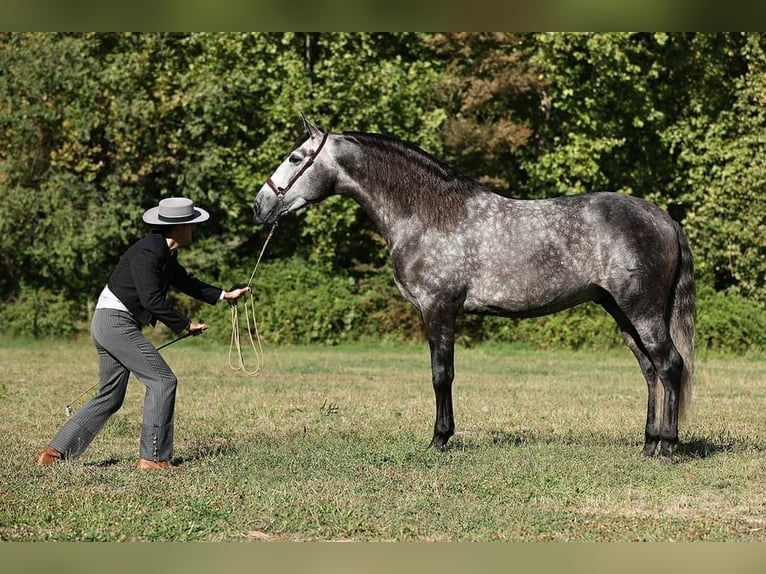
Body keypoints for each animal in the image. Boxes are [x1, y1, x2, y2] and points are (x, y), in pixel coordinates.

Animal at [255, 117, 700, 460]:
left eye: (295, 158)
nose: (259, 206)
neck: (427, 214)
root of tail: (664, 218)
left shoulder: (437, 308)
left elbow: (441, 374)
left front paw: (439, 439)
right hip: (620, 312)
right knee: (650, 371)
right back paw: (648, 444)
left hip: (642, 311)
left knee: (669, 366)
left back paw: (668, 447)